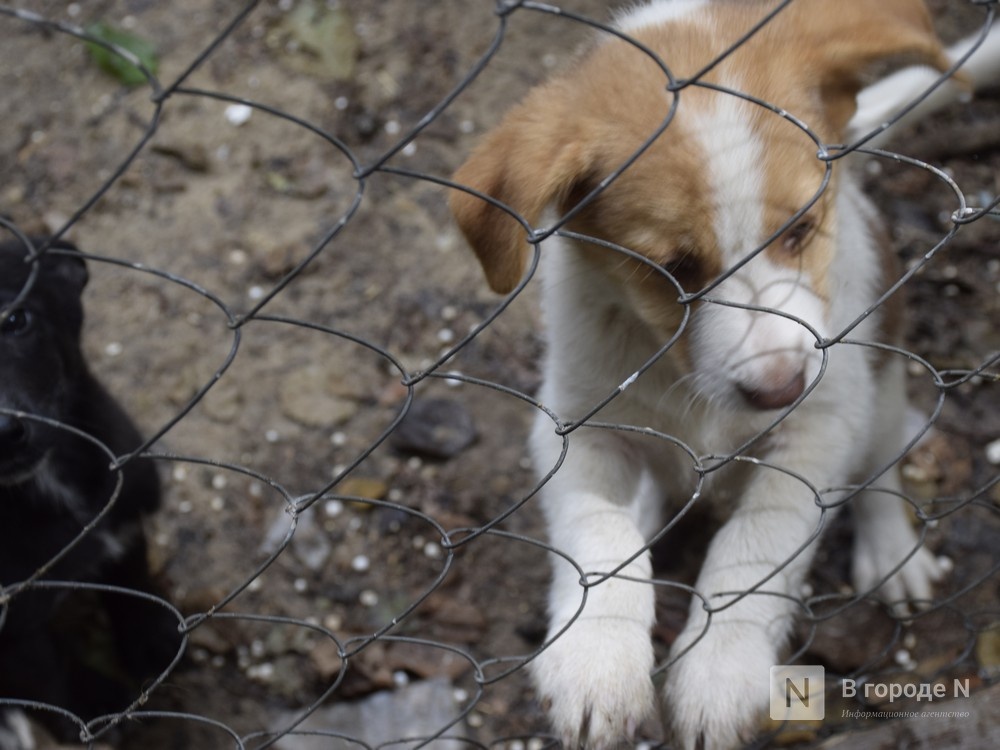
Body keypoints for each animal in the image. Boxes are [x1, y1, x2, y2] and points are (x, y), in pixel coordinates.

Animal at [0, 239, 178, 748]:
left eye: (16, 320)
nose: (0, 434)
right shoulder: (11, 629)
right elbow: (46, 672)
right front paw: (94, 706)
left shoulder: (126, 502)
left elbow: (130, 572)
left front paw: (150, 636)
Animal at [450, 0, 956, 748]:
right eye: (673, 270)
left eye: (801, 230)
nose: (779, 388)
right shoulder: (573, 428)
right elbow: (599, 531)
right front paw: (596, 658)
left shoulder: (818, 429)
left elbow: (758, 544)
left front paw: (721, 671)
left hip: (882, 381)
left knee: (884, 463)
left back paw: (891, 548)